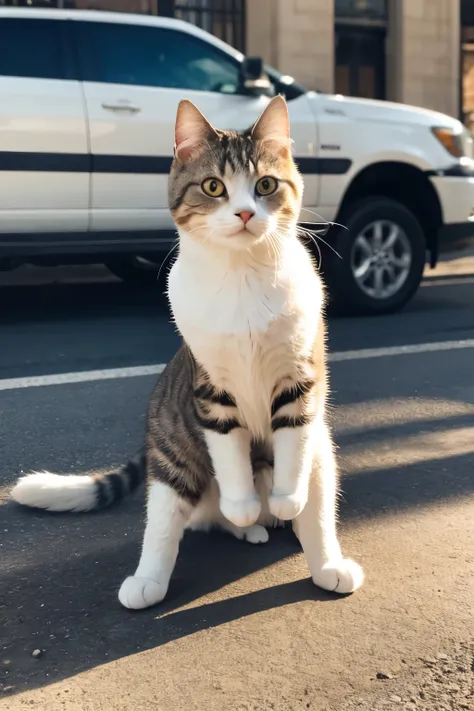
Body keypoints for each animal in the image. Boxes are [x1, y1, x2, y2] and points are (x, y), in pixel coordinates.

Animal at [10, 94, 362, 608]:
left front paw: (286, 499)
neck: (242, 275)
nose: (245, 214)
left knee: (315, 507)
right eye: (214, 186)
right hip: (172, 450)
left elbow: (292, 449)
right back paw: (169, 568)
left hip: (323, 453)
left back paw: (317, 555)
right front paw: (242, 506)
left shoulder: (301, 379)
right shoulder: (211, 391)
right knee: (169, 520)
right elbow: (229, 455)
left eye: (266, 185)